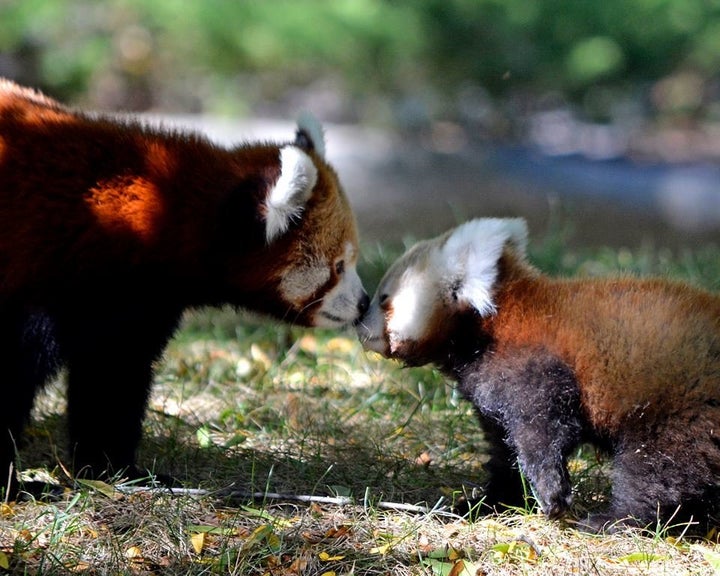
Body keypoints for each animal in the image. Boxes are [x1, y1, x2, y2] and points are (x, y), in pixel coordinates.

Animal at [0, 79, 368, 498]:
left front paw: (116, 470)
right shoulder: (46, 279)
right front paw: (11, 485)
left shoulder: (132, 303)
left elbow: (113, 375)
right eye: (338, 266)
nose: (363, 303)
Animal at [358, 217, 720, 532]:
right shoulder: (495, 400)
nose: (359, 319)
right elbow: (506, 451)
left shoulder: (533, 368)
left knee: (658, 471)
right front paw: (487, 502)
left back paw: (614, 520)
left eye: (384, 299)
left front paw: (552, 495)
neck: (485, 330)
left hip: (677, 404)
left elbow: (543, 434)